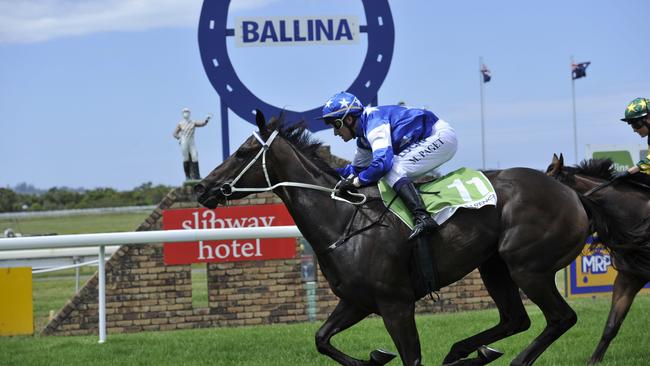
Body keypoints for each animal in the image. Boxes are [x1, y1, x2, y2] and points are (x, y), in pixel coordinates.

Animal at [192, 112, 628, 366]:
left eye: (243, 152)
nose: (201, 188)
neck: (344, 222)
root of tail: (573, 194)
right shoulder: (357, 301)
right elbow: (321, 339)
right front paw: (373, 358)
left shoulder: (396, 304)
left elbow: (411, 358)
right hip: (494, 266)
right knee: (515, 319)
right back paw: (466, 353)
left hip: (527, 266)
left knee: (560, 318)